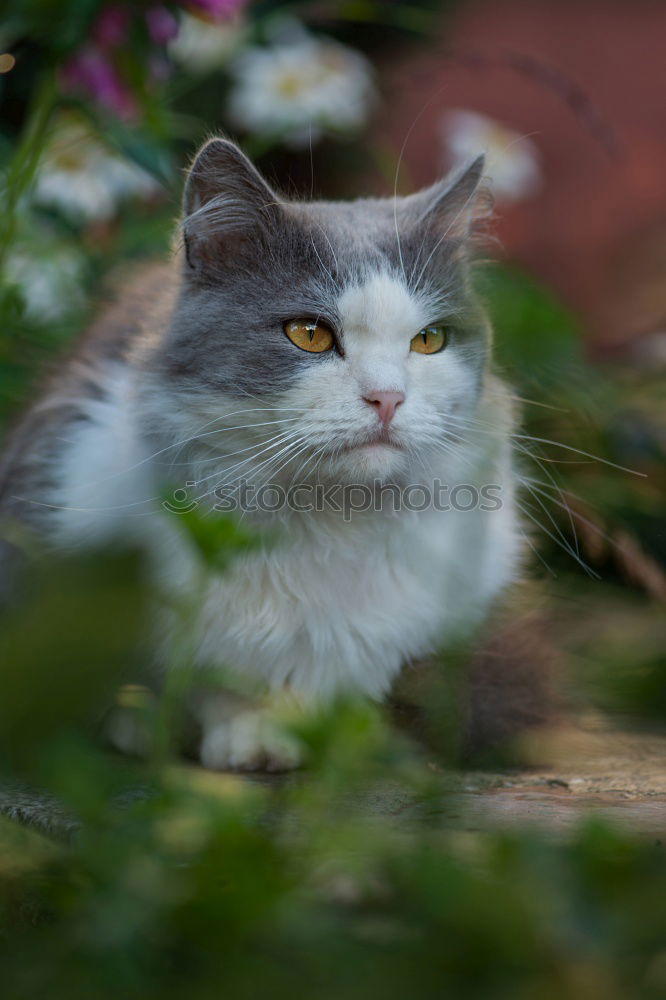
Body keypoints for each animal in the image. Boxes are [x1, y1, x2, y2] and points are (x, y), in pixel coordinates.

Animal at [0, 137, 520, 768]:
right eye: (309, 334)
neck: (328, 518)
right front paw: (237, 736)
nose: (388, 398)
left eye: (429, 340)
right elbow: (198, 679)